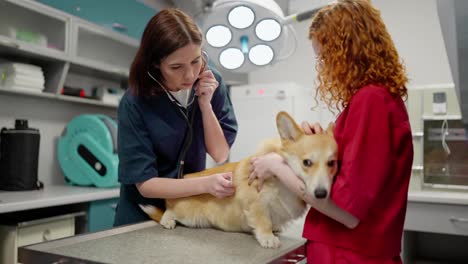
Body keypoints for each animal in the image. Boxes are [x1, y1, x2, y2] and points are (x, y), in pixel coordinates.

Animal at [139, 111, 336, 248]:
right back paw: (167, 220)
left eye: (332, 163)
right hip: (187, 214)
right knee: (168, 212)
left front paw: (275, 229)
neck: (283, 183)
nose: (321, 194)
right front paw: (268, 238)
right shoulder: (256, 204)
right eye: (307, 162)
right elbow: (263, 222)